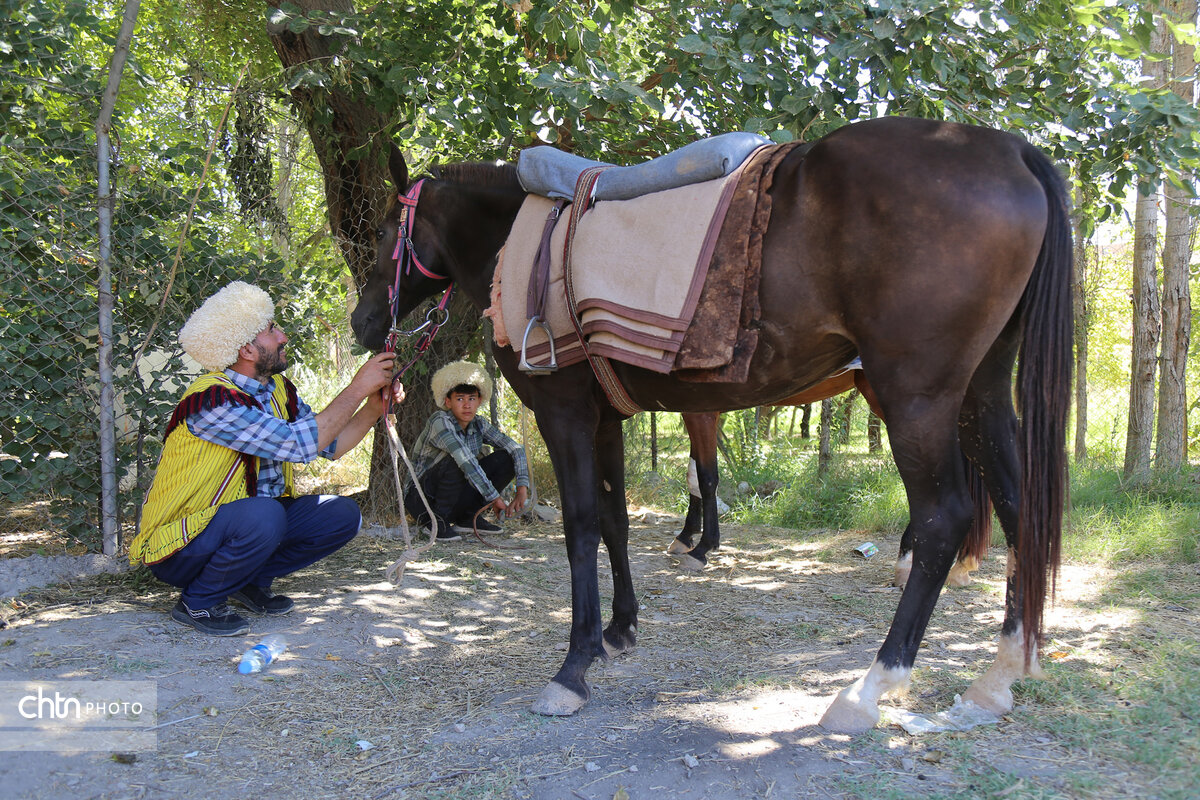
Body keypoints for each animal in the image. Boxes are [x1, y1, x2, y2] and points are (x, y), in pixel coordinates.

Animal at [350, 115, 1075, 734]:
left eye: (386, 231)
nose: (362, 322)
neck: (519, 242)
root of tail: (1011, 150)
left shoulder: (564, 412)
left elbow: (583, 525)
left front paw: (574, 666)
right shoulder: (605, 415)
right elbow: (614, 519)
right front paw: (619, 631)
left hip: (916, 397)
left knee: (943, 519)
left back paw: (871, 685)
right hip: (981, 393)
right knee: (1018, 506)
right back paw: (998, 677)